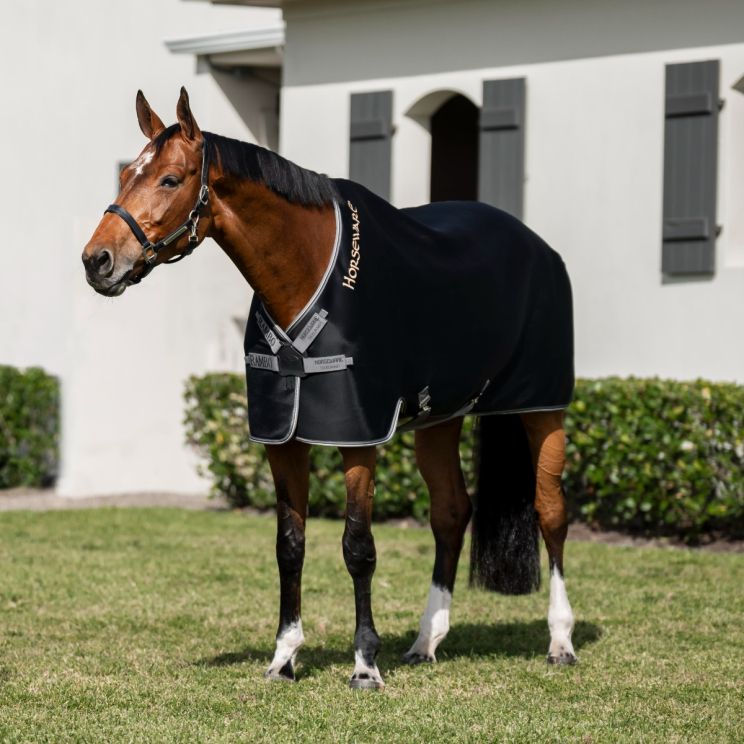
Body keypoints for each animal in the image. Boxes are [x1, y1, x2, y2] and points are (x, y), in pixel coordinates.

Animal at [82, 88, 577, 690]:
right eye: (126, 172)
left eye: (171, 179)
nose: (97, 261)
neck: (305, 272)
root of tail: (539, 247)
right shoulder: (283, 440)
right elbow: (289, 546)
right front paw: (284, 657)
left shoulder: (358, 437)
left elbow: (357, 546)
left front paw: (365, 664)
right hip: (439, 419)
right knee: (450, 513)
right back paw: (425, 641)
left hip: (542, 407)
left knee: (550, 512)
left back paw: (560, 640)